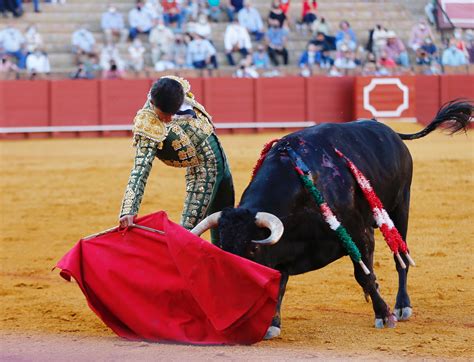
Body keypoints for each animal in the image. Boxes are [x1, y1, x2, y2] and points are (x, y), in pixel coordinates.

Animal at [206, 99, 472, 336]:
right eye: (223, 250)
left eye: (252, 250)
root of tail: (388, 130)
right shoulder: (282, 250)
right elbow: (280, 283)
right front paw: (272, 324)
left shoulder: (357, 233)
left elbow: (363, 275)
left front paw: (384, 314)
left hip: (400, 206)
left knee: (401, 257)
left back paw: (402, 305)